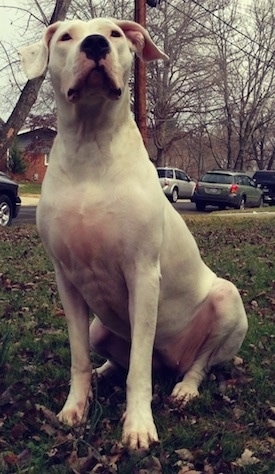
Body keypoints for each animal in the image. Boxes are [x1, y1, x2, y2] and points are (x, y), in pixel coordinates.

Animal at [18, 17, 248, 448]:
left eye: (114, 34)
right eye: (66, 37)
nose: (94, 44)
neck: (90, 144)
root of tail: (170, 361)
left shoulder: (142, 275)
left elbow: (139, 370)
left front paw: (139, 426)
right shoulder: (66, 279)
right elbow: (78, 356)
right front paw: (74, 407)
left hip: (227, 302)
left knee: (198, 364)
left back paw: (185, 388)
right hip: (100, 328)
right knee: (113, 356)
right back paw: (103, 373)